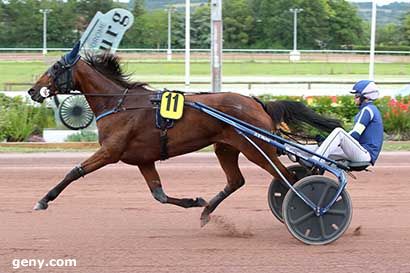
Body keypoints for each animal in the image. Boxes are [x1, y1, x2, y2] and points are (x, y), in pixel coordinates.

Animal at [28, 42, 342, 225]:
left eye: (55, 68)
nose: (32, 90)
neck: (118, 103)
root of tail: (256, 101)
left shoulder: (110, 152)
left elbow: (74, 171)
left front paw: (43, 200)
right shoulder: (143, 159)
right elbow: (159, 195)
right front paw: (195, 202)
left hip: (255, 148)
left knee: (287, 177)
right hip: (226, 146)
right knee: (237, 180)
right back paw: (206, 212)